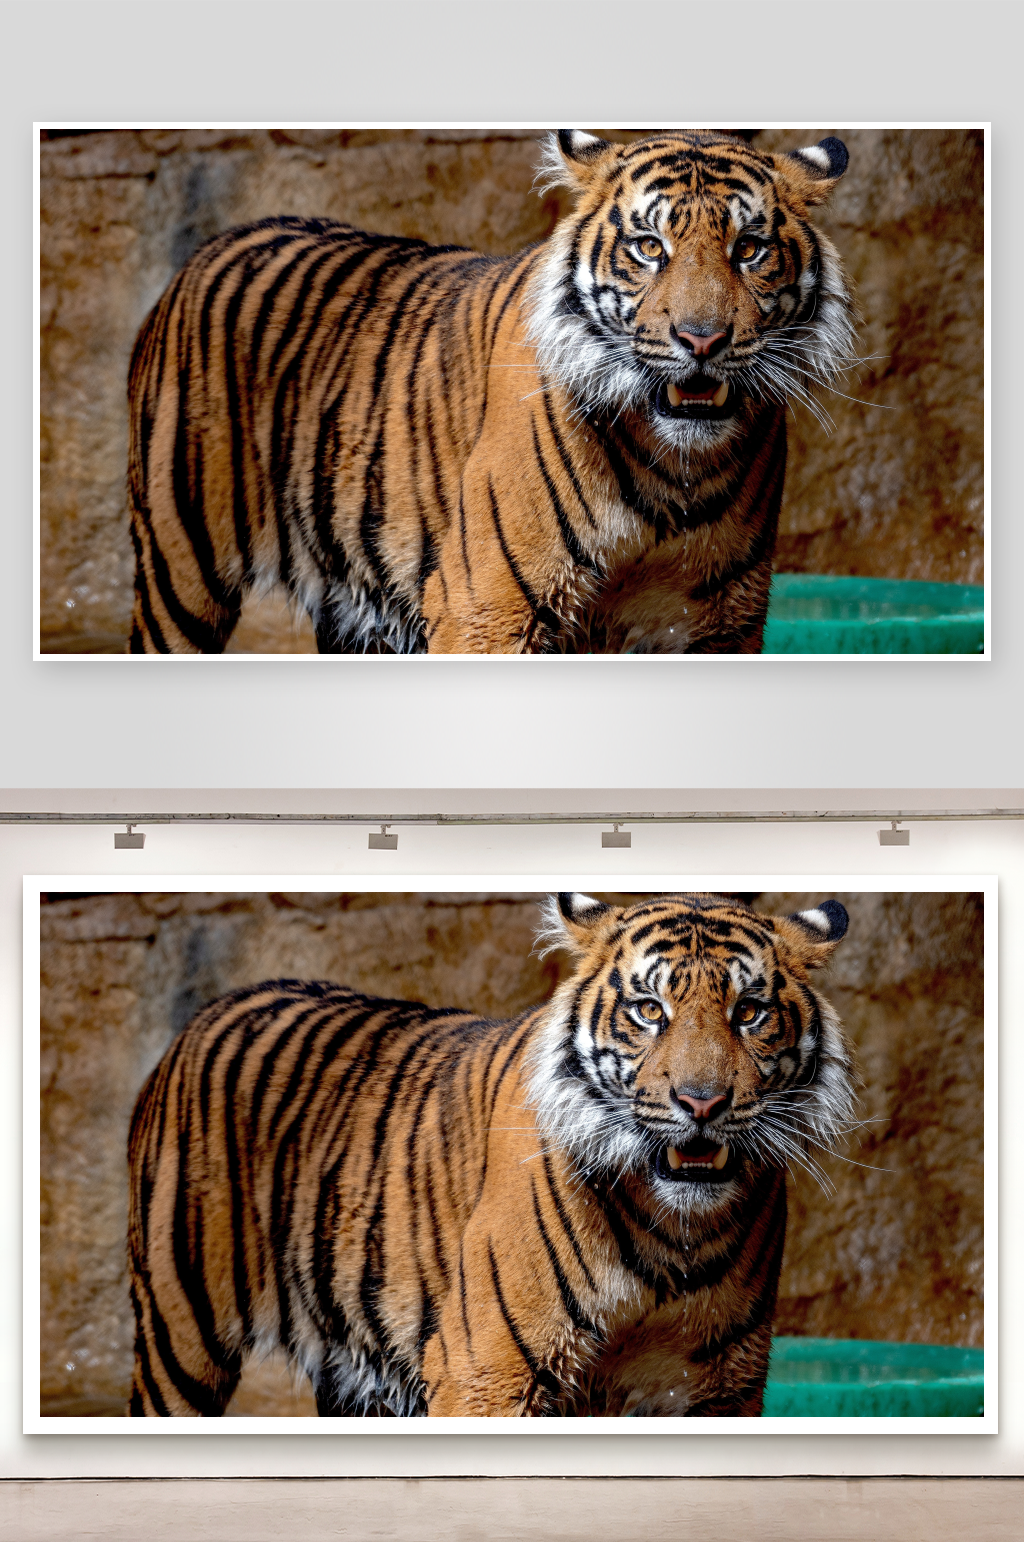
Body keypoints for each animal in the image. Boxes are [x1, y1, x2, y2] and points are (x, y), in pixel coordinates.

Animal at [126, 891, 853, 1417]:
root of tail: (218, 1005)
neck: (677, 1232)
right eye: (649, 1010)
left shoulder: (715, 1388)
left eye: (750, 1012)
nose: (701, 1103)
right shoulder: (487, 1372)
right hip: (179, 1336)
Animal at [127, 129, 855, 655]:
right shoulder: (488, 608)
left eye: (750, 249)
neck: (676, 467)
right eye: (650, 247)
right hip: (179, 572)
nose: (701, 340)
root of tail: (219, 241)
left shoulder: (716, 624)